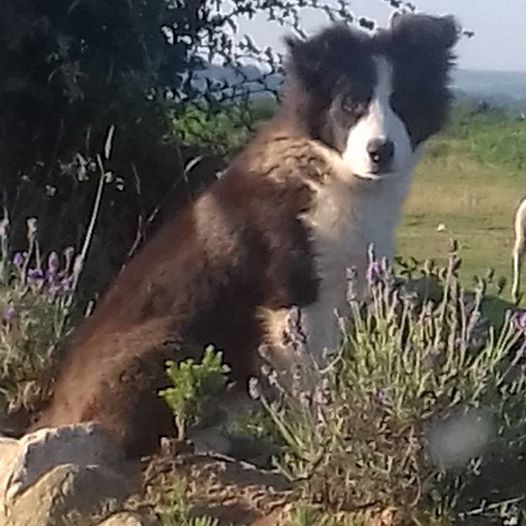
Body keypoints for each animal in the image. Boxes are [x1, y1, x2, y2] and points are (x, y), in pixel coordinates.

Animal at [28, 12, 460, 458]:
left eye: (404, 102)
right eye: (351, 103)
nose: (381, 151)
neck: (333, 175)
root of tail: (57, 411)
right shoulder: (295, 299)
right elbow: (307, 380)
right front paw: (319, 437)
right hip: (175, 341)